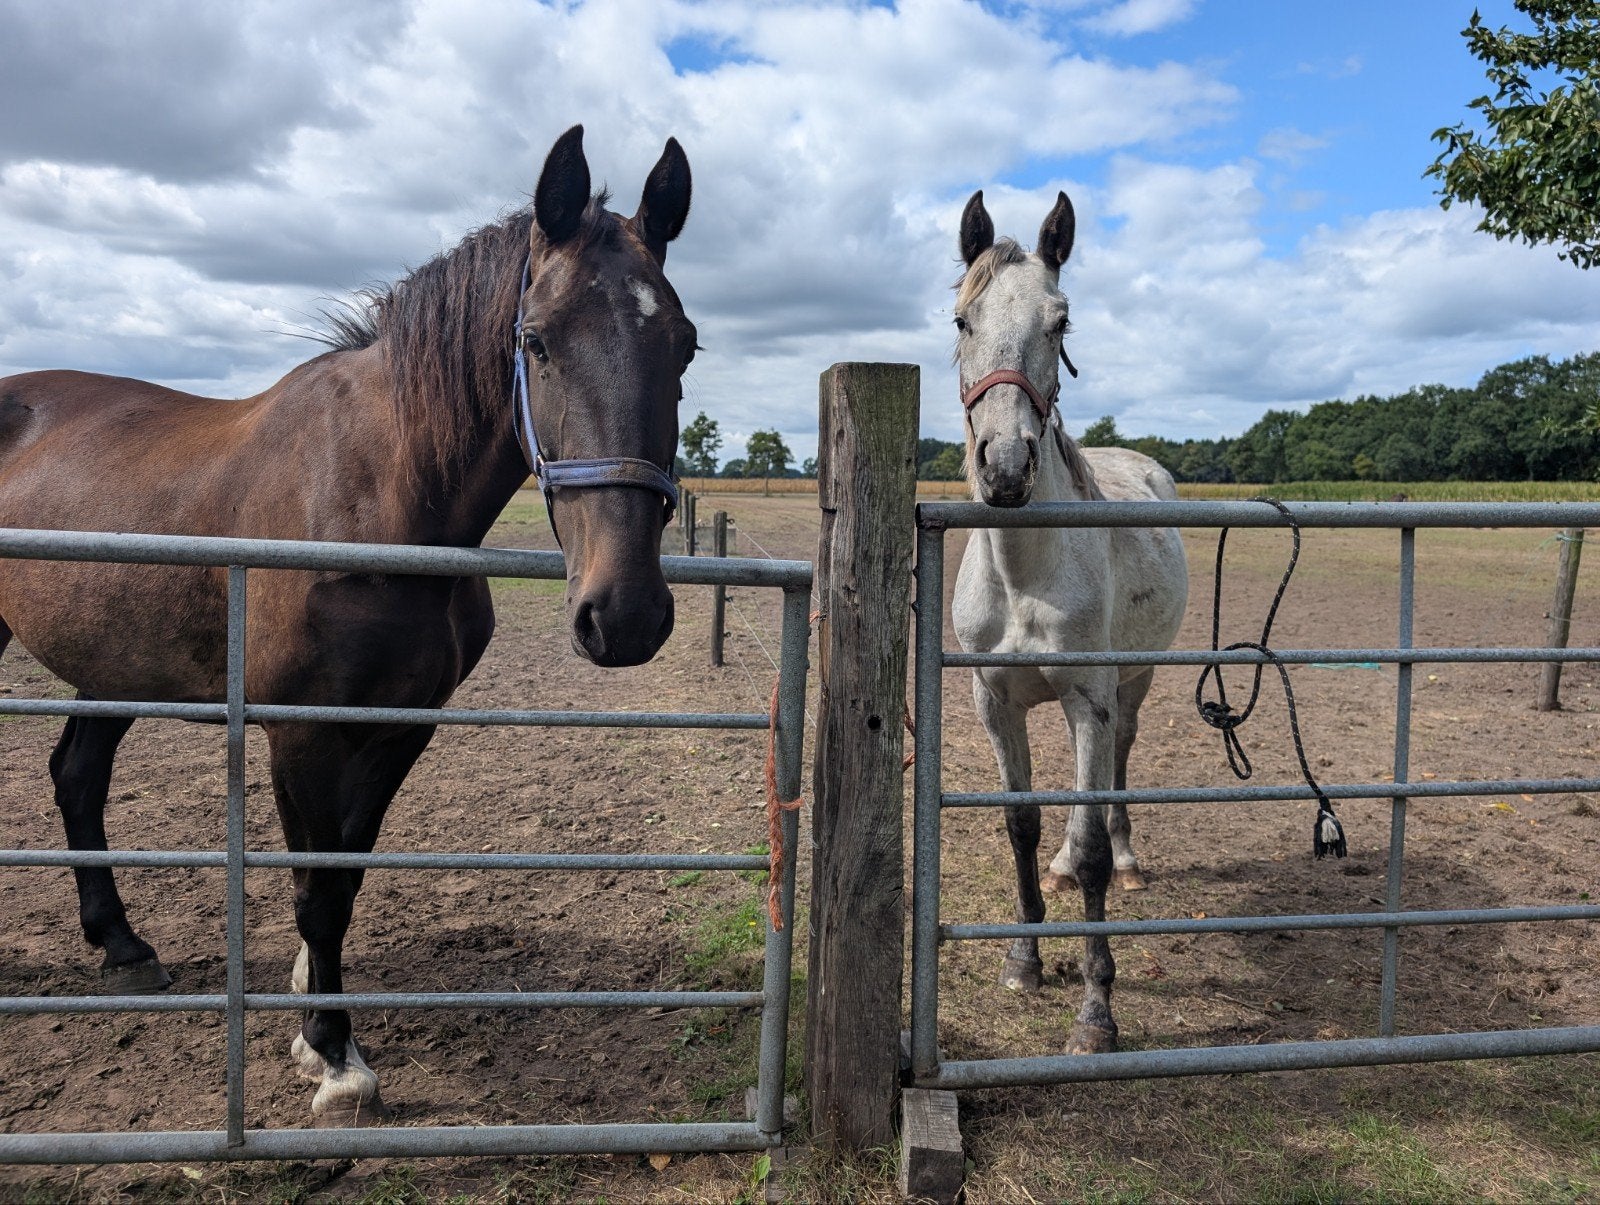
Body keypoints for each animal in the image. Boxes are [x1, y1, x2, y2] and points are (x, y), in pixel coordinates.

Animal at [0, 125, 697, 1123]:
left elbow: (346, 871)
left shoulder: (399, 726)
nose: (626, 613)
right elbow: (316, 890)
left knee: (77, 777)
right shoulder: (301, 731)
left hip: (114, 662)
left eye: (684, 345)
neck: (375, 500)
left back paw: (122, 945)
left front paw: (313, 1015)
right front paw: (332, 1052)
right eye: (538, 341)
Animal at [949, 190, 1188, 1054]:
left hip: (1131, 684)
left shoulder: (1090, 698)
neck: (1026, 574)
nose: (1006, 466)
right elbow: (1019, 825)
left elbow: (1088, 855)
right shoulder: (994, 702)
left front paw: (1096, 1008)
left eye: (1061, 321)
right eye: (963, 319)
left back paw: (1126, 854)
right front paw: (1024, 960)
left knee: (1117, 766)